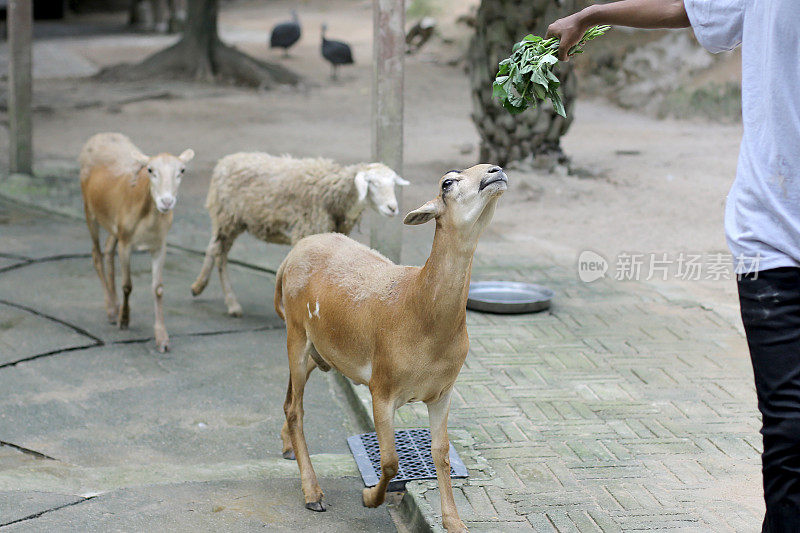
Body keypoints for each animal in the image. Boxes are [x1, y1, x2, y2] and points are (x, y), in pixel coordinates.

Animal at [191, 151, 410, 316]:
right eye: (372, 183)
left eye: (393, 184)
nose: (392, 208)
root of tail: (225, 161)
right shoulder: (307, 229)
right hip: (228, 217)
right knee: (220, 255)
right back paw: (232, 303)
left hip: (224, 219)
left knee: (212, 247)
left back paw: (198, 286)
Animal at [272, 164, 504, 528]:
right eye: (447, 183)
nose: (496, 172)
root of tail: (289, 258)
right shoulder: (381, 386)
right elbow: (391, 460)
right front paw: (370, 498)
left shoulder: (443, 391)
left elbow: (441, 453)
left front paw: (455, 523)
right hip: (295, 331)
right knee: (297, 409)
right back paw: (313, 494)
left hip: (321, 351)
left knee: (289, 399)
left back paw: (286, 447)